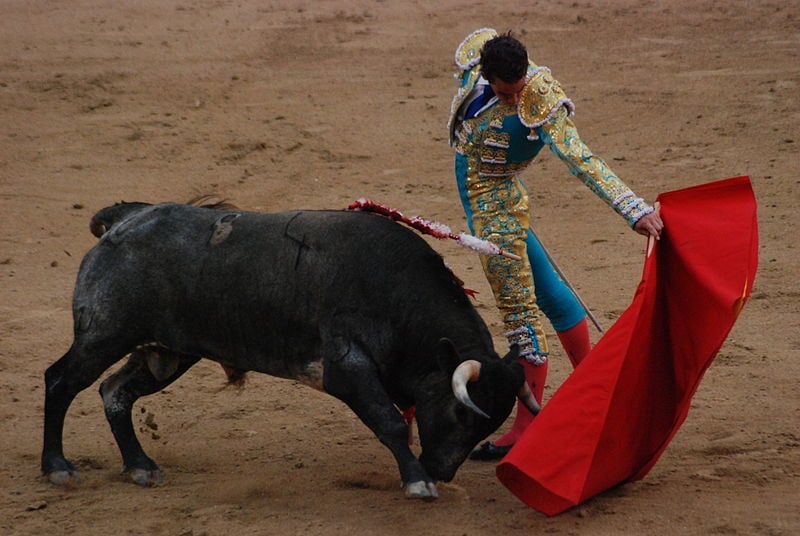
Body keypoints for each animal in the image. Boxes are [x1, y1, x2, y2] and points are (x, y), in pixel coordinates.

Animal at [39, 201, 536, 498]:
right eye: (460, 413)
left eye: (488, 422)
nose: (441, 472)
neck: (397, 296)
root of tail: (125, 219)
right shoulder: (346, 367)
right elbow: (392, 423)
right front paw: (416, 482)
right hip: (104, 334)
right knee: (61, 381)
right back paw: (58, 467)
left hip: (166, 353)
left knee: (114, 392)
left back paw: (141, 466)